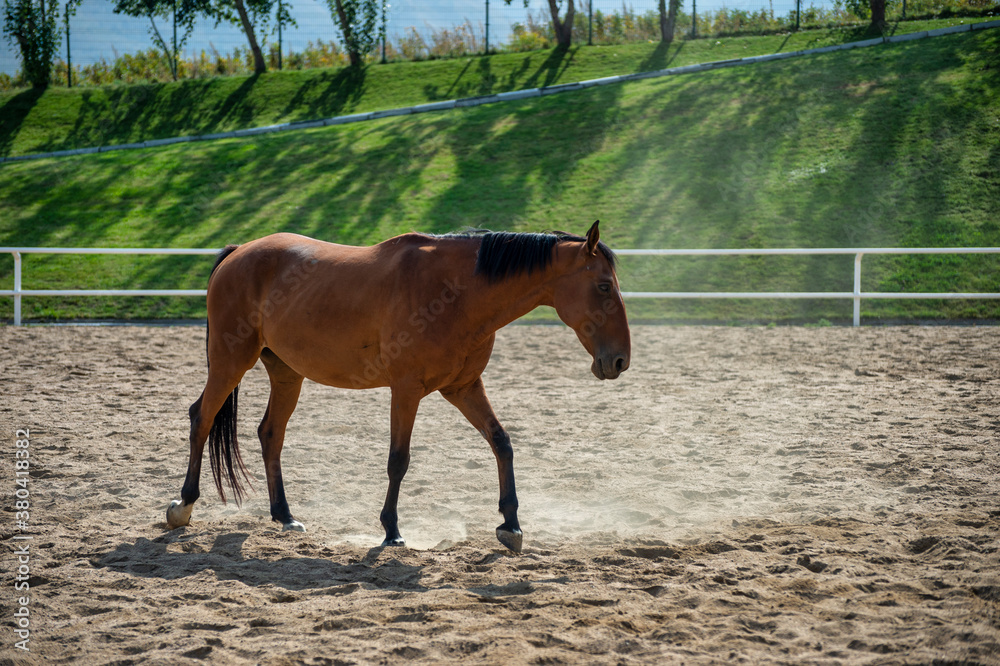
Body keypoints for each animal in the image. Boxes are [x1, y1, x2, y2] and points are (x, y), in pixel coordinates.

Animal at [165, 219, 632, 548]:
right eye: (603, 286)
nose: (619, 360)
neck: (455, 292)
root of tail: (238, 252)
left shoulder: (464, 388)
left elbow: (502, 443)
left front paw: (511, 524)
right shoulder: (406, 391)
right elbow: (399, 460)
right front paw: (391, 531)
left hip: (285, 372)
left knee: (270, 433)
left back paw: (284, 516)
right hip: (230, 362)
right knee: (201, 418)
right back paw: (183, 506)